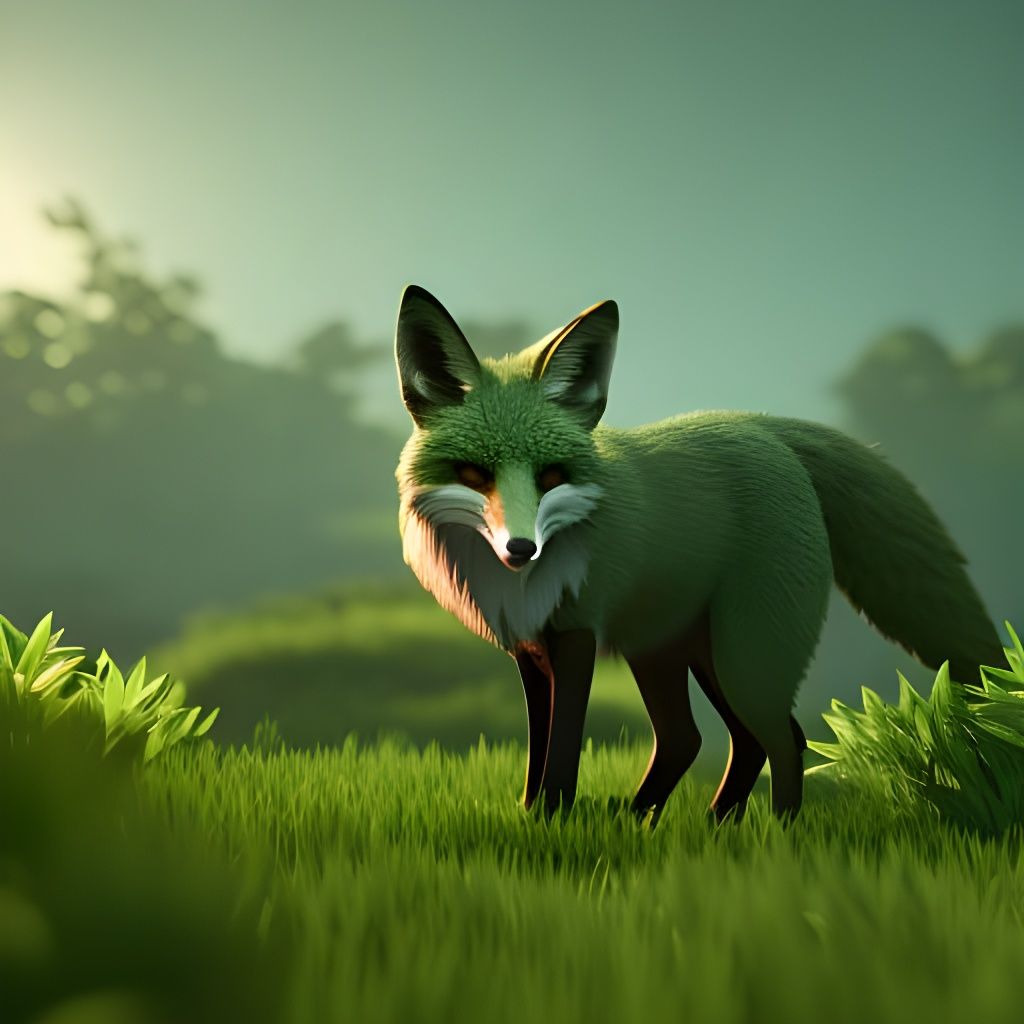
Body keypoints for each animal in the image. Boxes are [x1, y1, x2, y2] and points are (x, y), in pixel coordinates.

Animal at [393, 284, 1003, 824]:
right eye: (475, 473)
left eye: (551, 476)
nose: (522, 549)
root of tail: (765, 429)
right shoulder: (532, 648)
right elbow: (538, 749)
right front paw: (531, 817)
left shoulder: (577, 633)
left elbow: (562, 753)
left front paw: (551, 822)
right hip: (673, 651)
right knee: (697, 739)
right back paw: (681, 826)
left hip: (743, 653)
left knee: (782, 738)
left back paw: (775, 838)